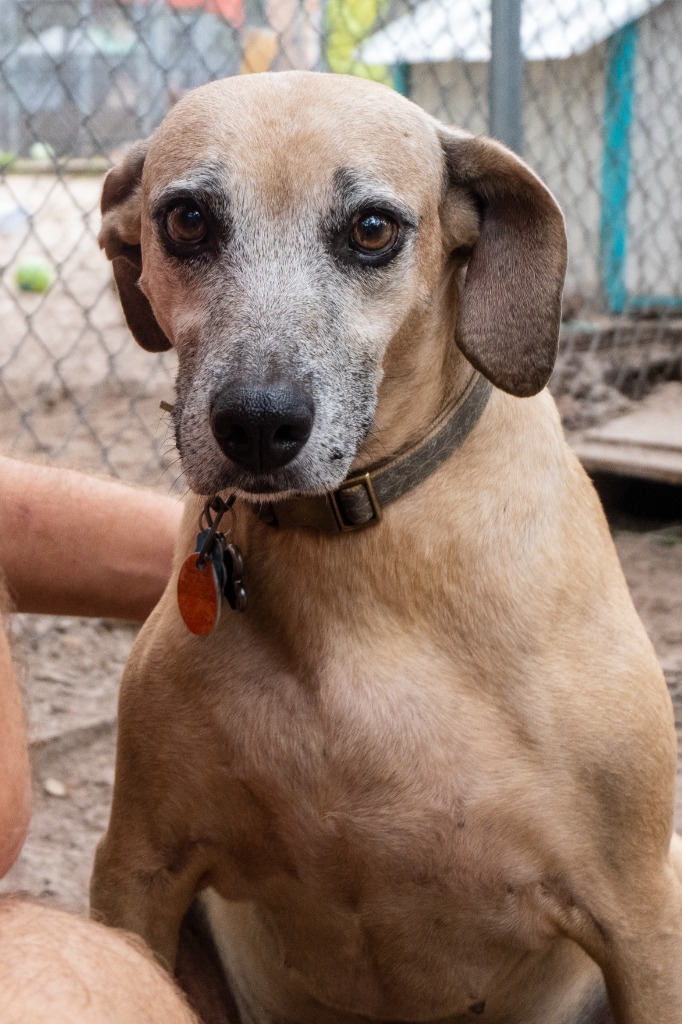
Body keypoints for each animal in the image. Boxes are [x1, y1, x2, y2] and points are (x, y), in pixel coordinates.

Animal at [90, 74, 679, 1024]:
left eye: (372, 229)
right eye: (184, 219)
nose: (258, 424)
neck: (356, 561)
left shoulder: (641, 917)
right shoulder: (137, 867)